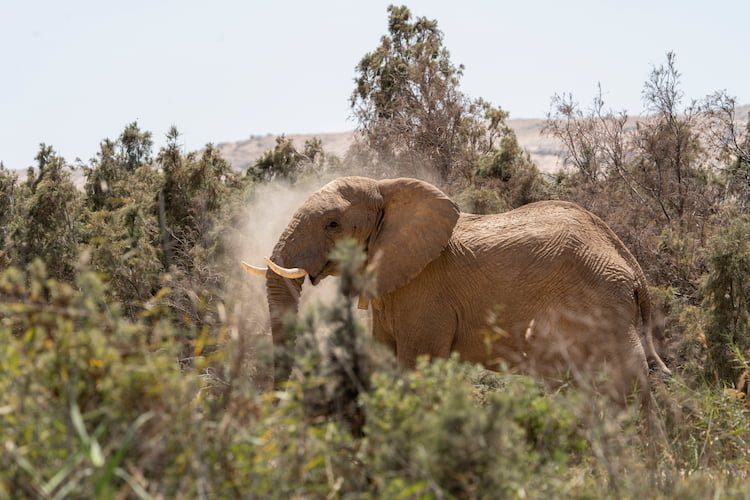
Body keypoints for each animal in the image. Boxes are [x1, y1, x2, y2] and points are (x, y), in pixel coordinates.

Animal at [243, 176, 670, 407]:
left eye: (332, 224)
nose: (278, 401)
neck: (387, 189)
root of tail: (631, 264)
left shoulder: (426, 291)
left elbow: (416, 365)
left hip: (602, 299)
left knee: (628, 380)